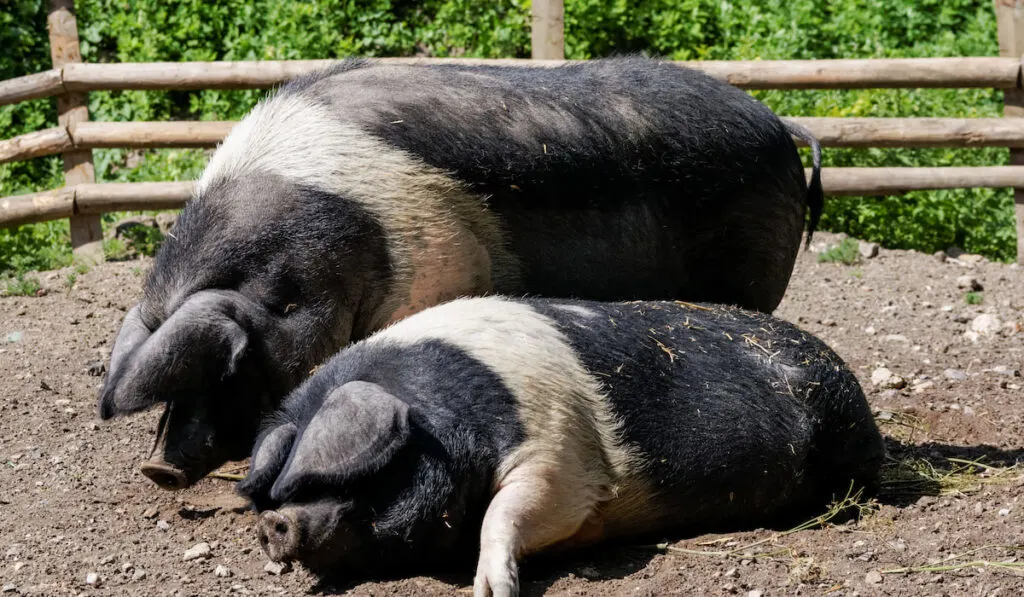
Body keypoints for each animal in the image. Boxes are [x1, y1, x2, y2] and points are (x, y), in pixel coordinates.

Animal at [235, 296, 884, 593]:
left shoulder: (561, 455)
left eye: (339, 474)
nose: (273, 523)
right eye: (278, 487)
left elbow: (515, 509)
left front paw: (491, 590)